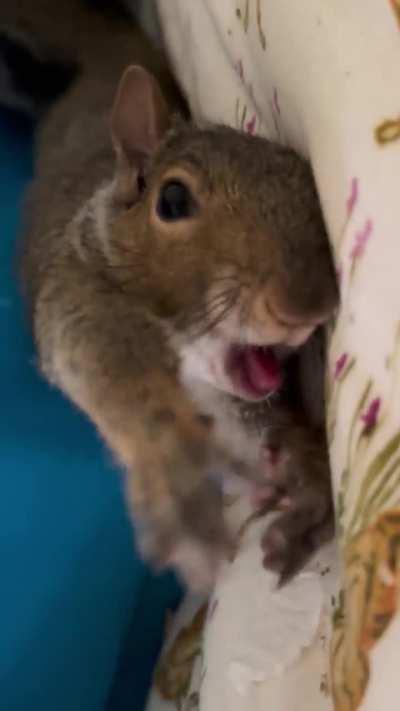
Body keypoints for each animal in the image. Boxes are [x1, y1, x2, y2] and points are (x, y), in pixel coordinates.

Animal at [0, 0, 339, 590]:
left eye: (308, 189)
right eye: (173, 200)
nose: (309, 305)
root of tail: (110, 50)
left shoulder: (246, 410)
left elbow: (276, 433)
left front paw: (310, 485)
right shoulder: (76, 301)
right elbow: (123, 383)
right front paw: (175, 464)